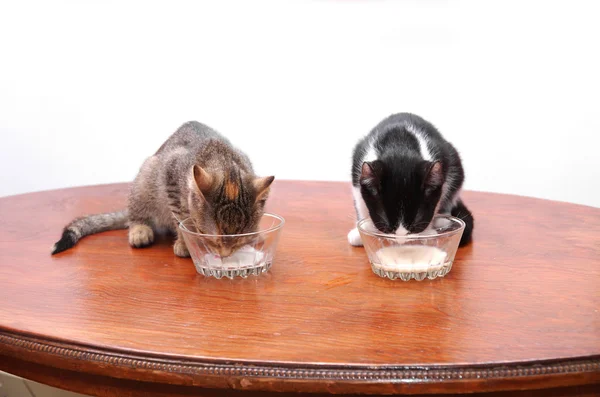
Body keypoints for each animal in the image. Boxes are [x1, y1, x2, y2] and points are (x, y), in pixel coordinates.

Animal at [346, 113, 474, 246]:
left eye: (416, 221)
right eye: (385, 222)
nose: (401, 240)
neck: (399, 144)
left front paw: (427, 232)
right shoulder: (358, 164)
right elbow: (360, 203)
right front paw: (361, 231)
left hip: (455, 161)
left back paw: (444, 220)